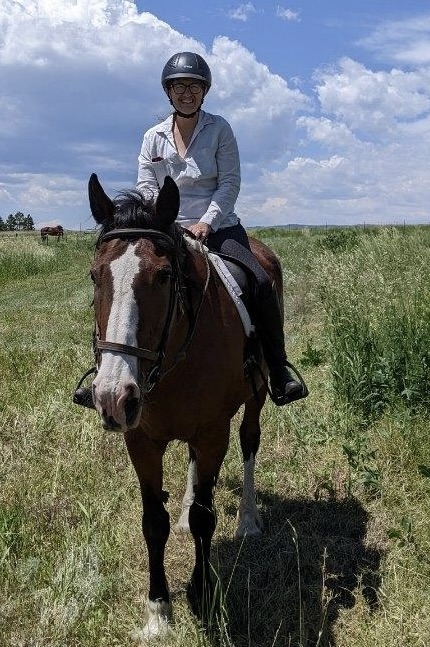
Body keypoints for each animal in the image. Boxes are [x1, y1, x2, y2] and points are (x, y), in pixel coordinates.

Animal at [84, 173, 286, 644]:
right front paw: (158, 610)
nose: (112, 396)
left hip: (255, 400)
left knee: (250, 445)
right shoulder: (141, 440)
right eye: (95, 275)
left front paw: (203, 591)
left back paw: (248, 520)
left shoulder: (214, 433)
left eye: (162, 276)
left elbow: (205, 518)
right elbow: (153, 521)